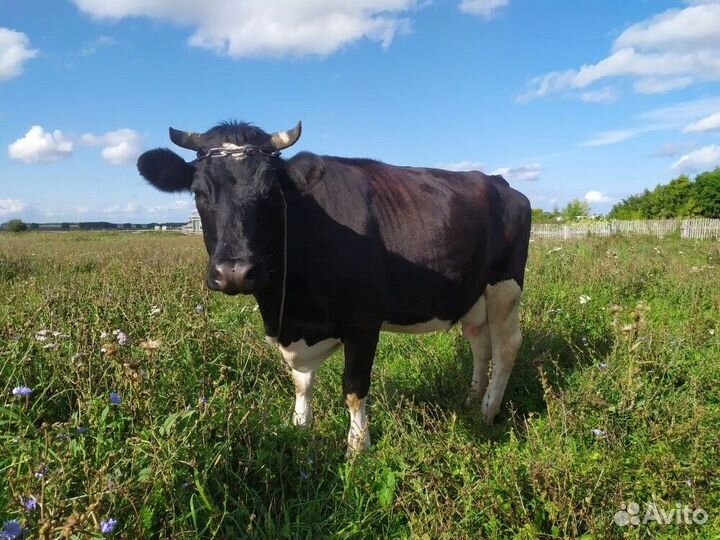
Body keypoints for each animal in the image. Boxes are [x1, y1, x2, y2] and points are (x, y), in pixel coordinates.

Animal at [137, 121, 531, 456]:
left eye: (271, 192)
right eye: (199, 192)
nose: (234, 272)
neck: (286, 309)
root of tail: (499, 182)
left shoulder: (363, 323)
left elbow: (354, 388)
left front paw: (357, 448)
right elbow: (301, 382)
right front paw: (299, 426)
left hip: (505, 288)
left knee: (506, 346)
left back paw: (487, 411)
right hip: (473, 295)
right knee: (480, 343)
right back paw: (472, 399)